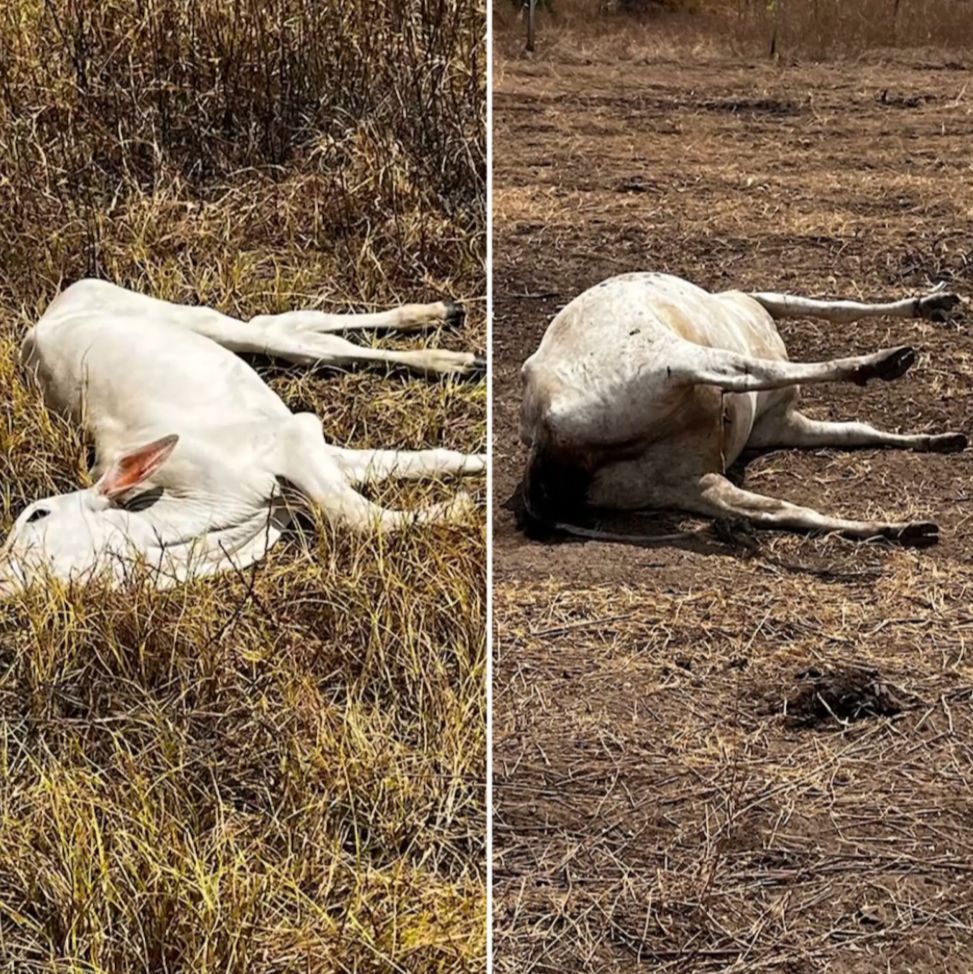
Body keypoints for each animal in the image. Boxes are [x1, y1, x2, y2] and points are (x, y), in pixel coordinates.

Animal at [0, 276, 486, 596]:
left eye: (36, 515)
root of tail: (42, 322)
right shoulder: (312, 460)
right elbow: (409, 467)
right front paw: (473, 475)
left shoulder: (294, 436)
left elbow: (355, 514)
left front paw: (461, 501)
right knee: (289, 329)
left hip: (186, 316)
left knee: (285, 335)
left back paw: (449, 347)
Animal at [520, 272, 960, 548]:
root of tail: (543, 434)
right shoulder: (760, 303)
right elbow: (835, 309)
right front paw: (930, 303)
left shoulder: (781, 426)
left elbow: (856, 430)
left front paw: (938, 439)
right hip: (669, 361)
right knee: (749, 371)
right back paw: (881, 363)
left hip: (688, 481)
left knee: (782, 511)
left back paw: (904, 529)